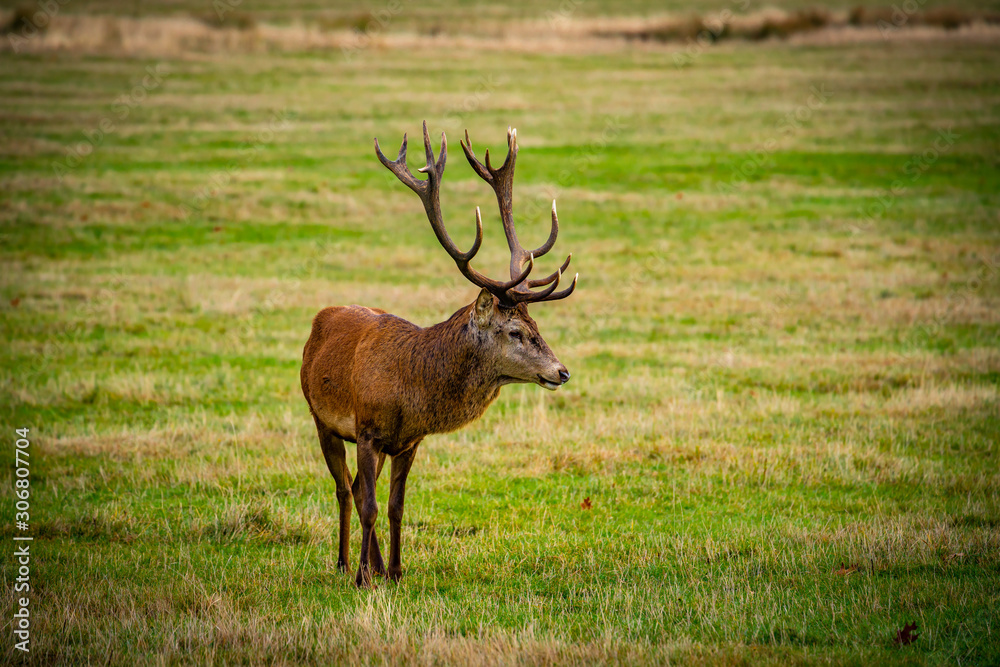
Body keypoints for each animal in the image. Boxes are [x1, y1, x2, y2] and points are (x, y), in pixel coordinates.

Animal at [300, 121, 578, 588]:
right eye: (516, 332)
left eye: (538, 327)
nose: (561, 372)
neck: (410, 392)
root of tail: (322, 317)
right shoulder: (368, 430)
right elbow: (370, 505)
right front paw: (363, 579)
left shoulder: (408, 442)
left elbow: (394, 507)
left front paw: (395, 571)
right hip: (322, 419)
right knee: (344, 490)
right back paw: (343, 563)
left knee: (356, 488)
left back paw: (372, 563)